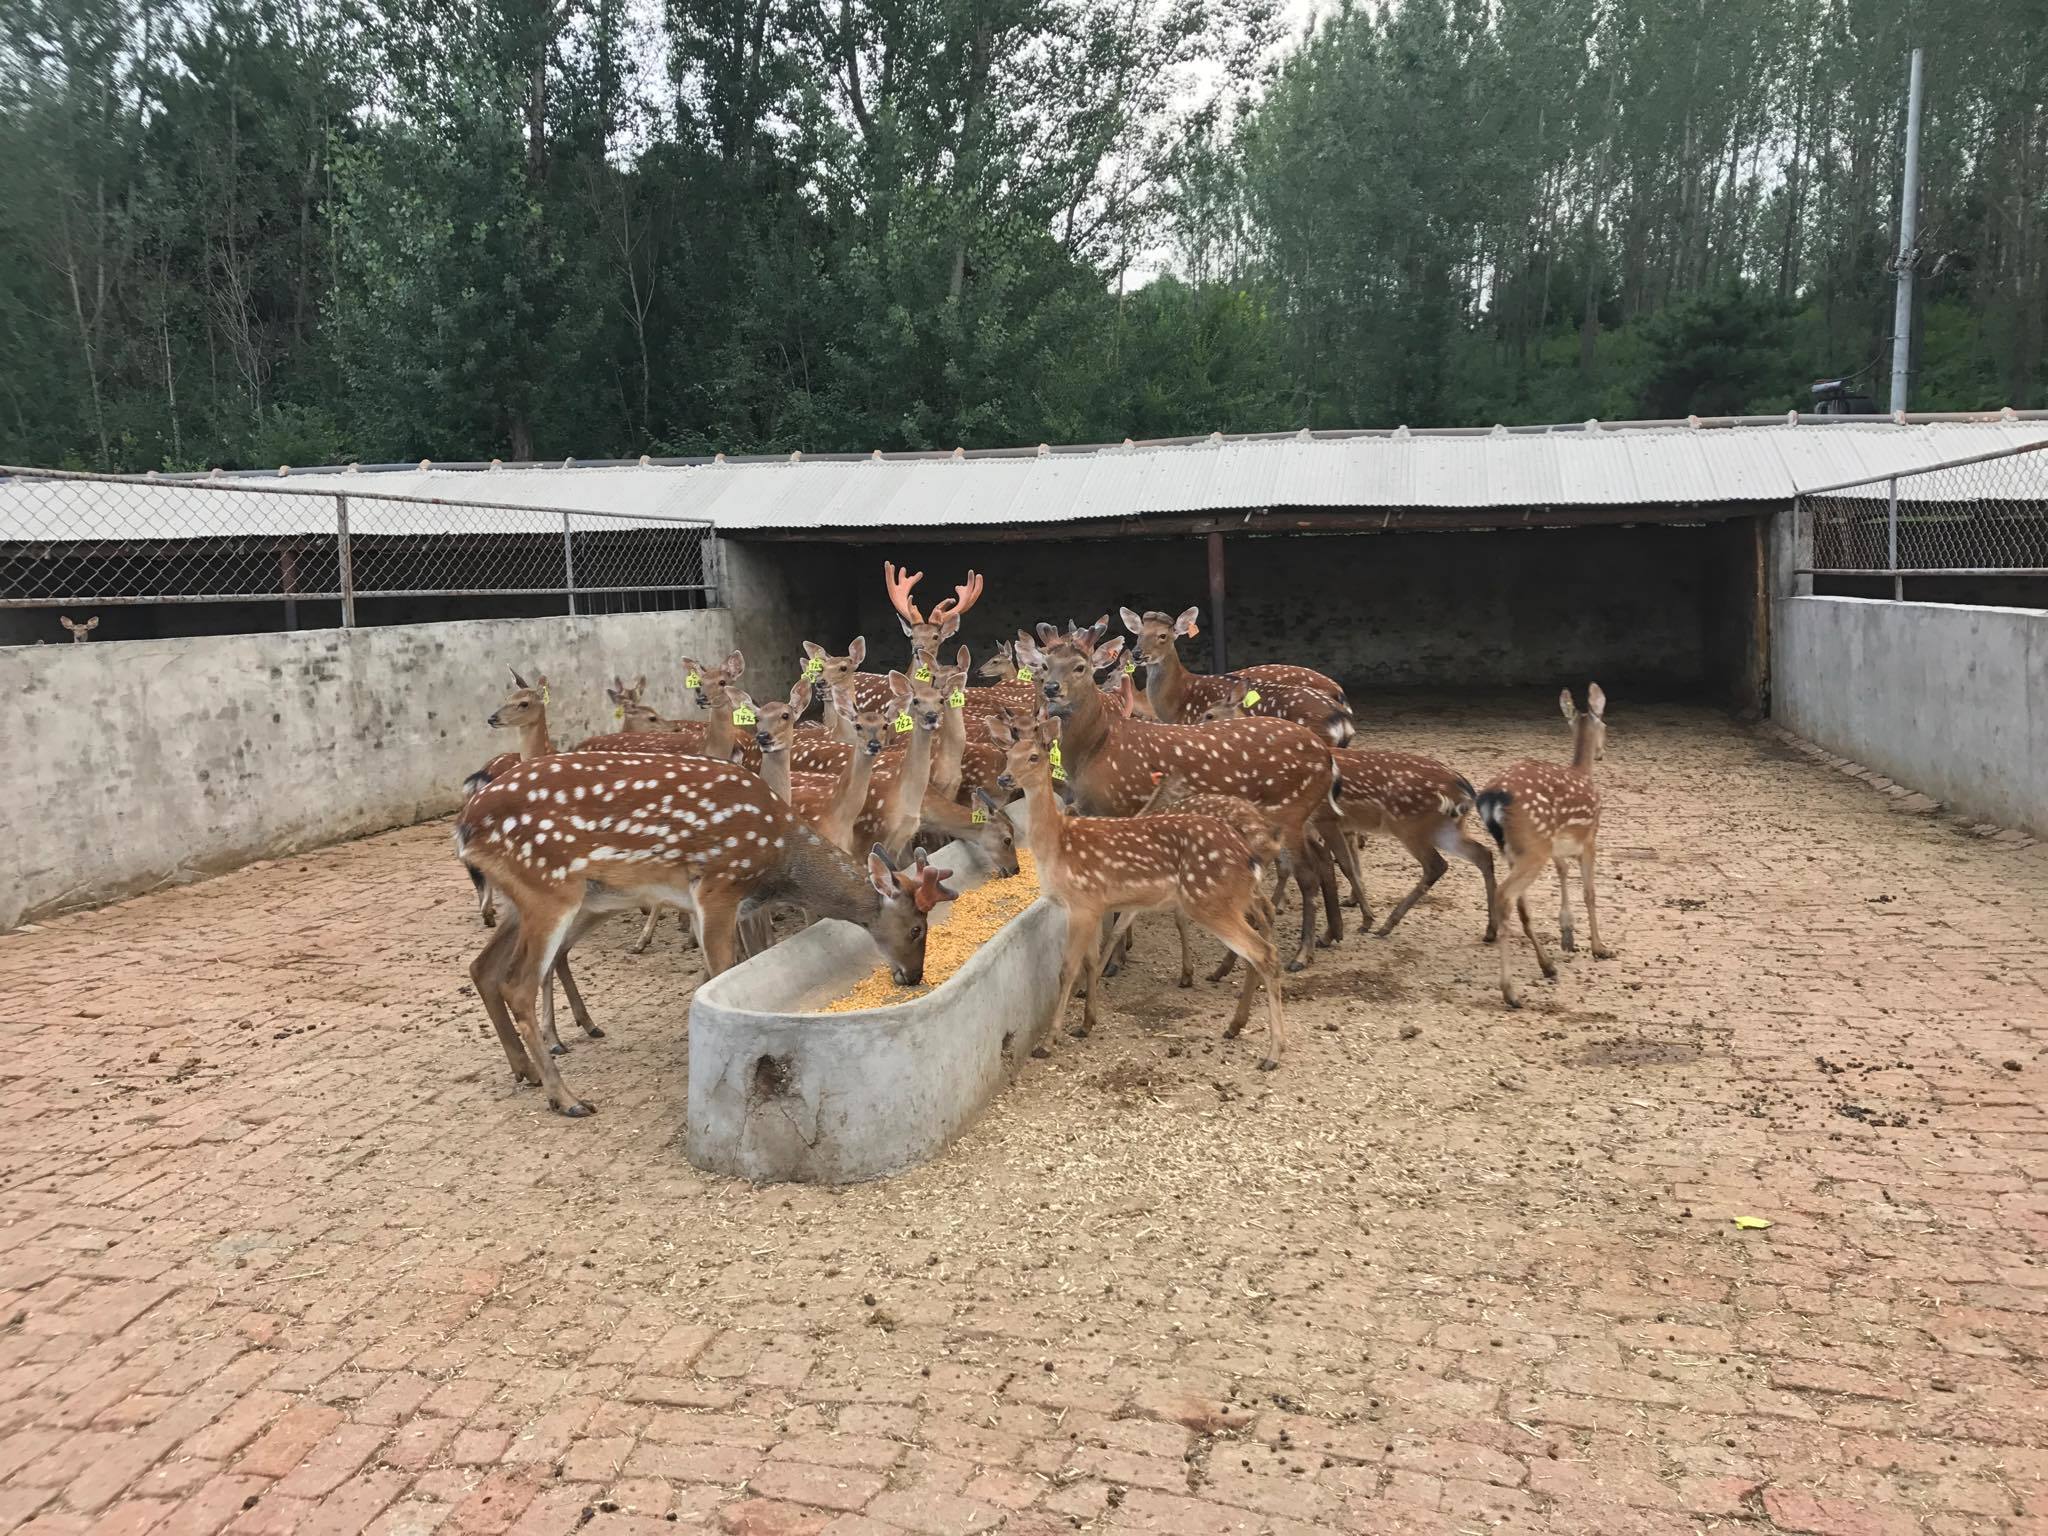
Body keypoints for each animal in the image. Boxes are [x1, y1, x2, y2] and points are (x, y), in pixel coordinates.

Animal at [987, 716, 1277, 1064]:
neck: (1058, 845)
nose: (1004, 778)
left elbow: (1067, 969)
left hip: (1211, 900)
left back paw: (1273, 1052)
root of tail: (1250, 853)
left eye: (1033, 756)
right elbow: (1089, 960)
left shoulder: (1083, 902)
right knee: (1258, 942)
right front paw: (1086, 1023)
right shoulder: (1094, 906)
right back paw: (1236, 1025)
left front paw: (1049, 1041)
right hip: (1228, 900)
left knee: (1263, 950)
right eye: (1007, 754)